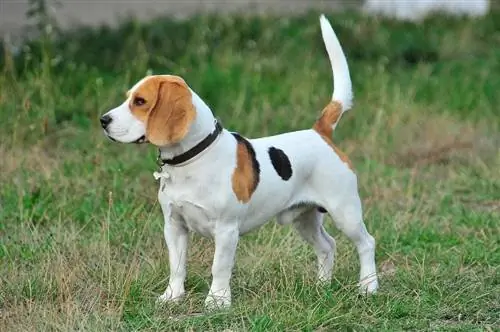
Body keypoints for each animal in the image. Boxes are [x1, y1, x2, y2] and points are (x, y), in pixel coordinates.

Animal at [99, 13, 376, 308]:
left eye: (140, 101)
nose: (103, 120)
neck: (192, 160)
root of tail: (320, 132)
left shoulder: (226, 230)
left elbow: (219, 267)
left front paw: (217, 302)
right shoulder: (174, 226)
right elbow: (177, 266)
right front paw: (172, 296)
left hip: (345, 211)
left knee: (367, 243)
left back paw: (368, 287)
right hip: (305, 218)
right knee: (328, 246)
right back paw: (321, 287)